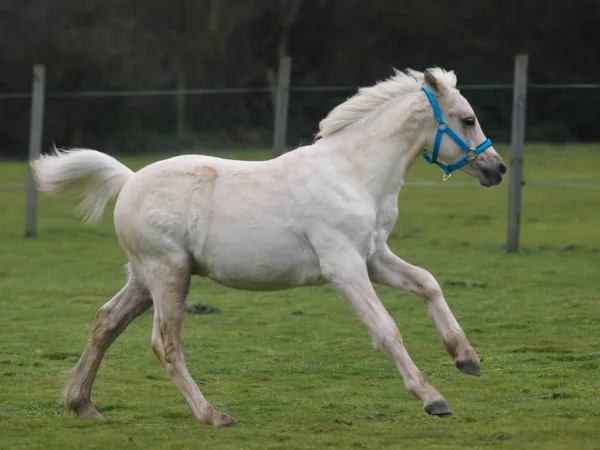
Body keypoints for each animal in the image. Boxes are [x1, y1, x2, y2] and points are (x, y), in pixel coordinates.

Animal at [29, 67, 506, 426]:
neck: (352, 173)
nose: (497, 168)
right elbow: (386, 328)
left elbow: (428, 283)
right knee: (165, 343)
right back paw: (213, 415)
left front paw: (466, 357)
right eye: (467, 119)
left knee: (106, 322)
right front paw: (432, 398)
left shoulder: (373, 258)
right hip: (168, 275)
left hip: (145, 279)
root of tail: (128, 181)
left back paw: (82, 404)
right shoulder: (343, 266)